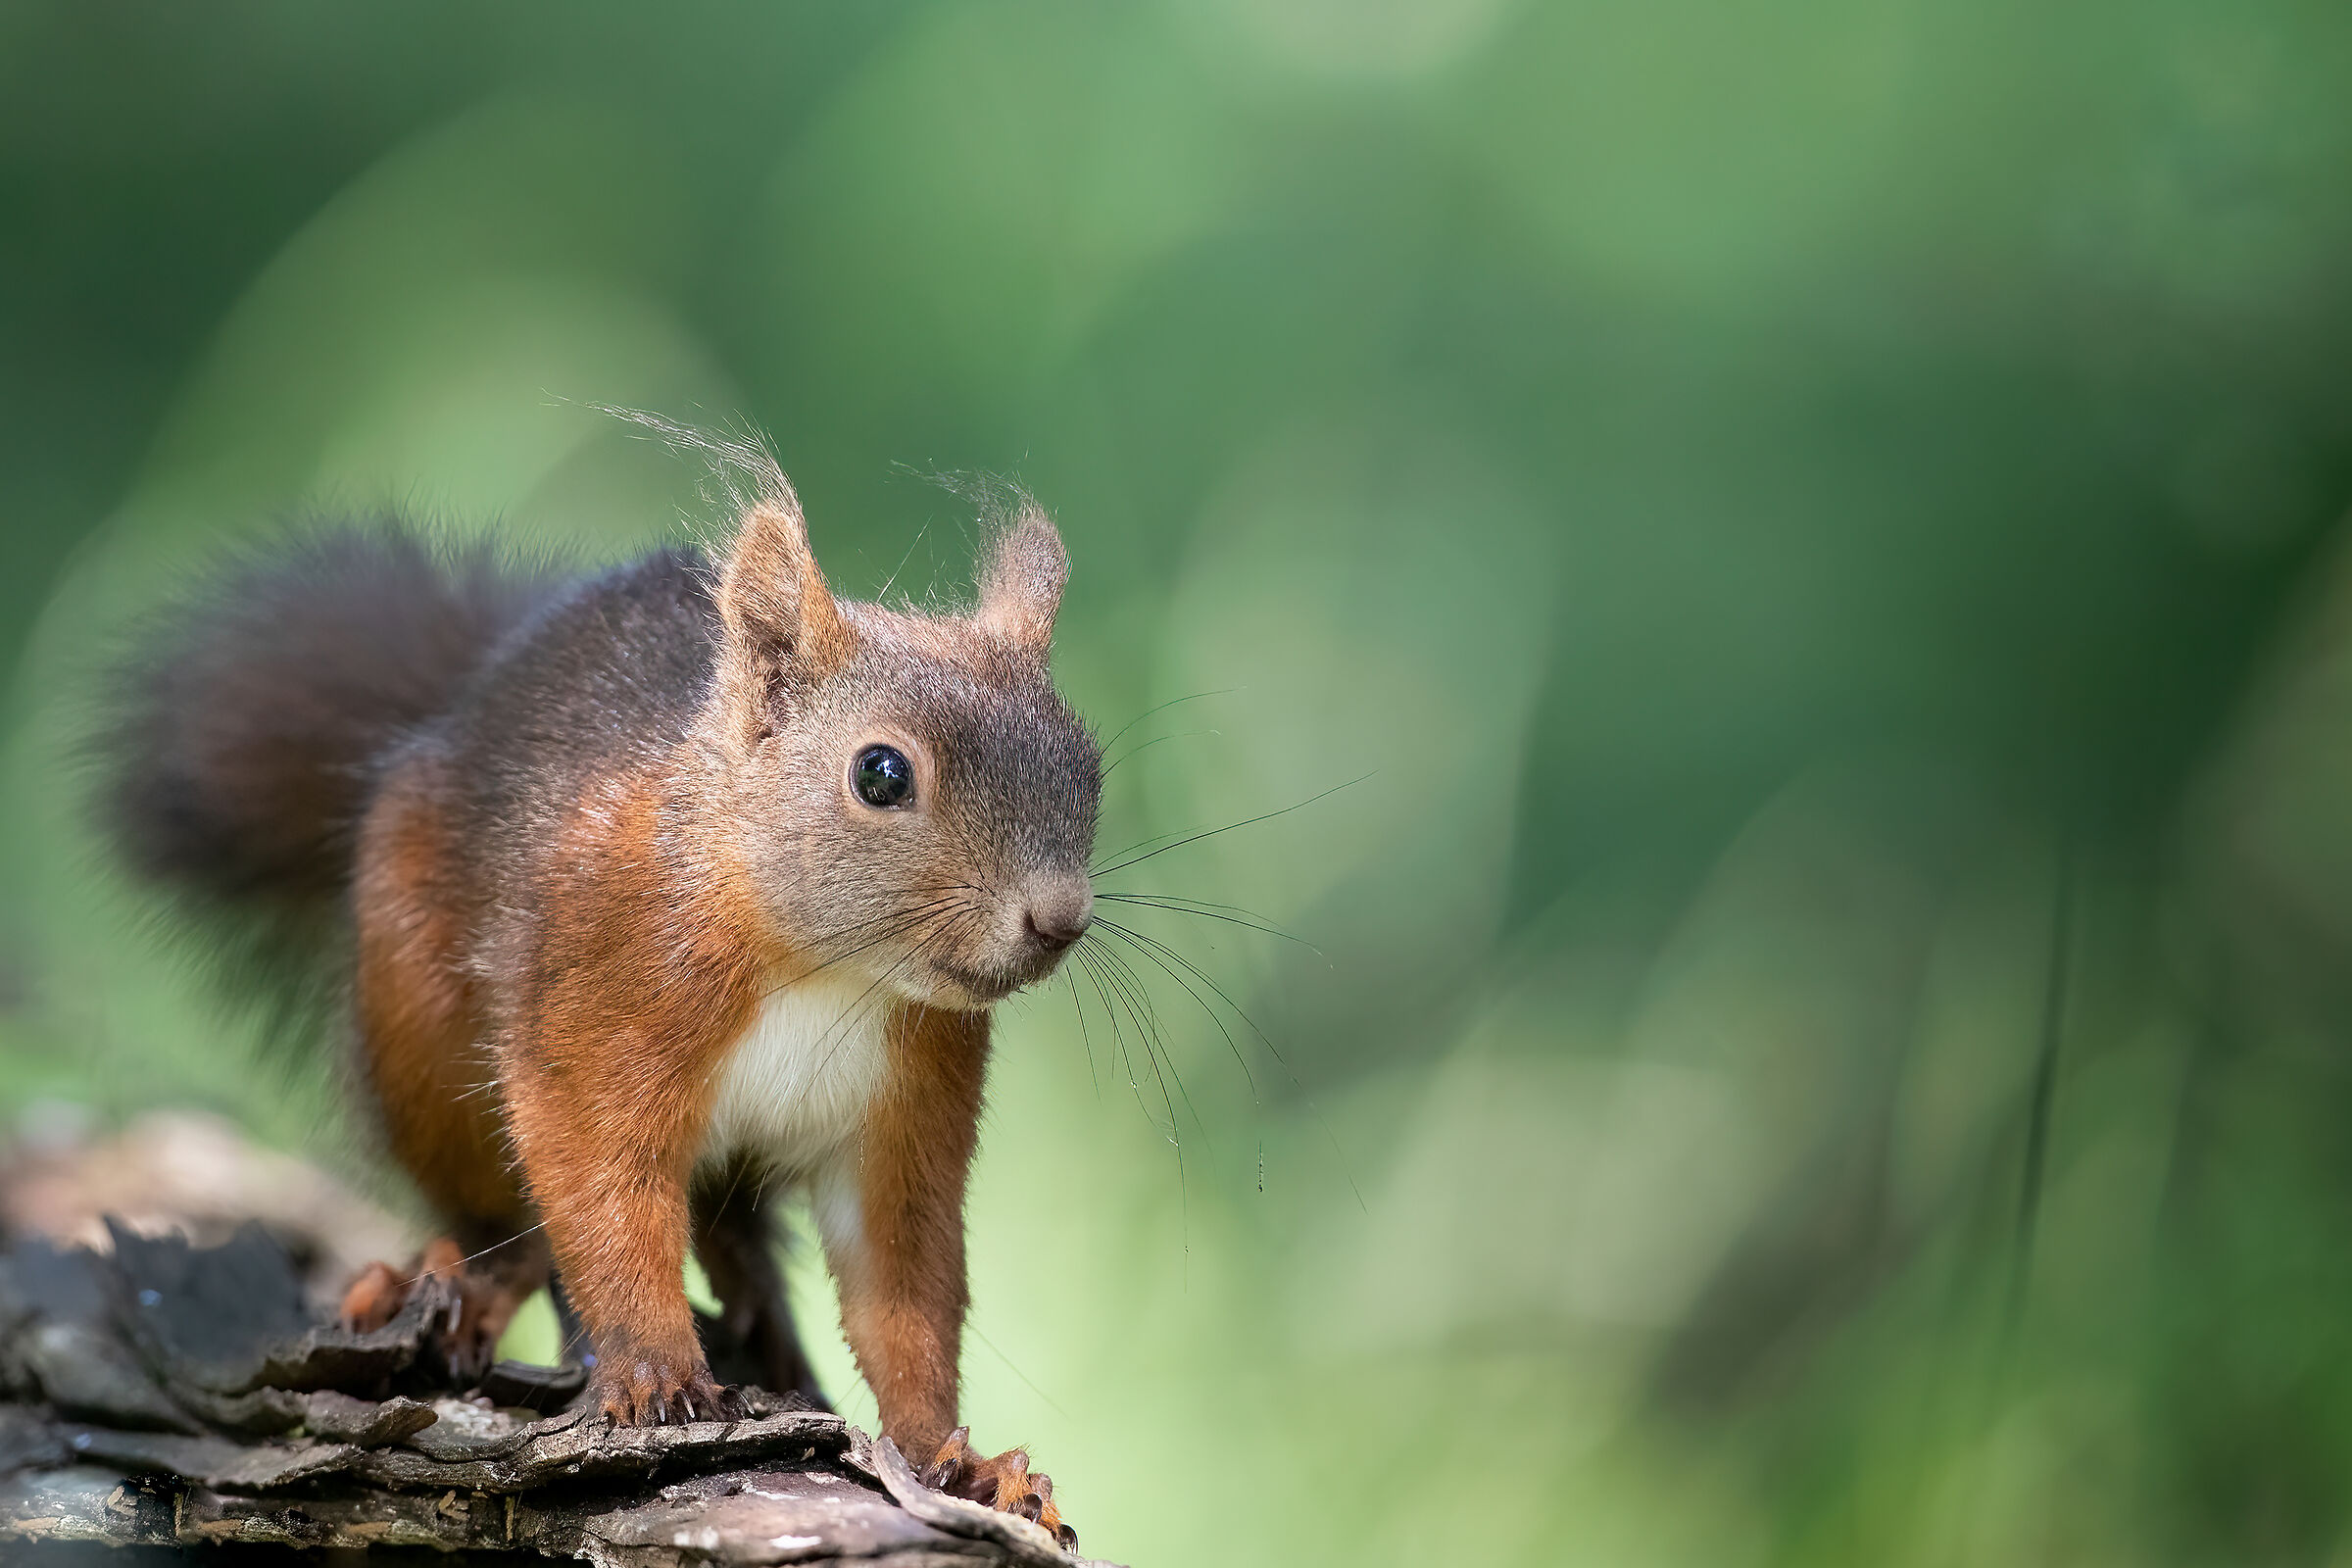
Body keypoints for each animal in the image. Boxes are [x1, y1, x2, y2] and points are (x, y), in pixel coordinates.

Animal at [96, 449, 1098, 1545]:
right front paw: (656, 1374)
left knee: (737, 1235)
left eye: (1088, 764)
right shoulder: (601, 998)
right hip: (417, 1033)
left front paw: (954, 1462)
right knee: (499, 1212)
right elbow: (602, 1189)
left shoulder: (907, 1114)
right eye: (881, 774)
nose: (1058, 919)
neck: (826, 968)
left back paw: (769, 1338)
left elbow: (902, 1285)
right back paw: (461, 1283)